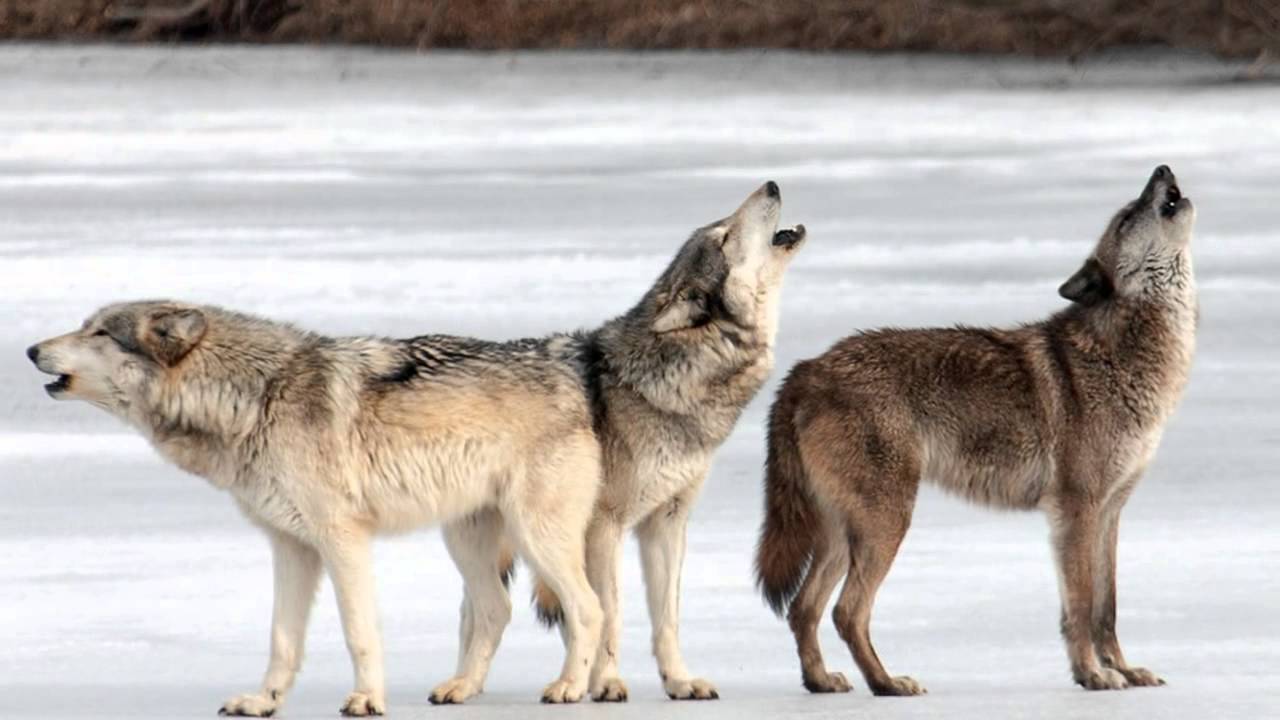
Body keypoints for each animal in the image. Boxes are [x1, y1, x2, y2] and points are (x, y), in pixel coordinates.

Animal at [27, 304, 609, 715]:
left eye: (100, 333)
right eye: (85, 327)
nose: (31, 349)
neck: (254, 397)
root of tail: (568, 372)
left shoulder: (341, 538)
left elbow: (358, 631)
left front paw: (367, 701)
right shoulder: (290, 545)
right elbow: (282, 638)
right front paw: (262, 703)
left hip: (534, 535)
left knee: (587, 607)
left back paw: (568, 686)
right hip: (465, 540)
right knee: (496, 609)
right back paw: (461, 687)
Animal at [527, 181, 807, 702]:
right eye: (723, 237)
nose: (772, 185)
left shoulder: (667, 522)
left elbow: (667, 617)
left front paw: (679, 680)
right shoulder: (605, 527)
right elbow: (611, 614)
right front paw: (607, 683)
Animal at [755, 166, 1196, 696]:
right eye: (1129, 215)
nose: (1162, 169)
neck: (1126, 354)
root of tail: (807, 367)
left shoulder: (1110, 512)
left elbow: (1106, 609)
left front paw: (1124, 671)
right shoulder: (1076, 510)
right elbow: (1081, 606)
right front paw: (1092, 674)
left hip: (847, 531)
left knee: (804, 609)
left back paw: (822, 681)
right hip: (886, 522)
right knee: (846, 611)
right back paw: (887, 683)